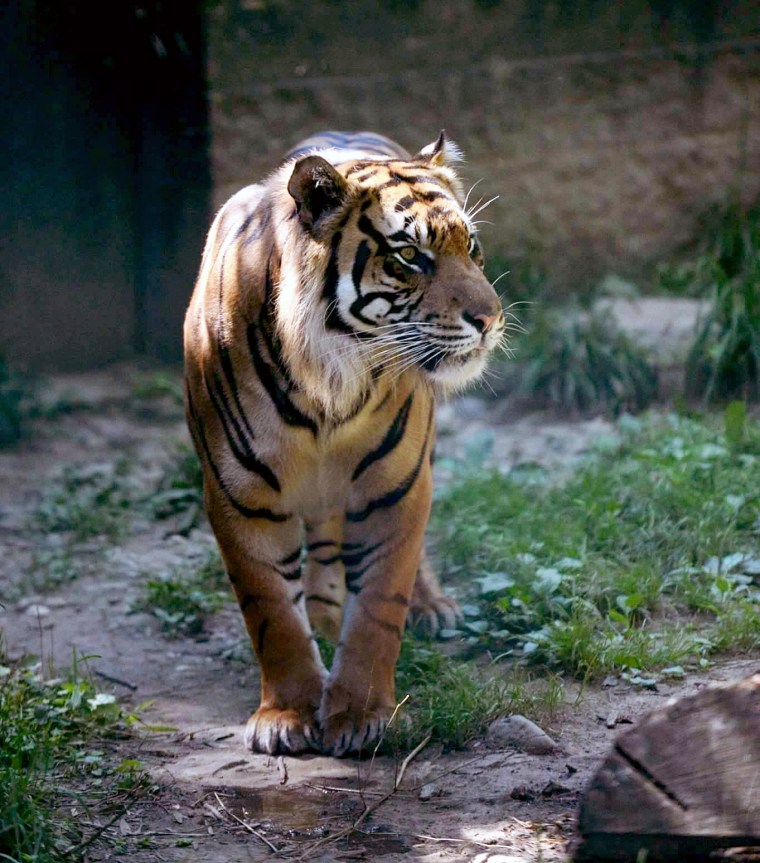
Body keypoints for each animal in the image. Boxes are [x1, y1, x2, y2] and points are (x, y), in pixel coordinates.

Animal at [183, 128, 504, 756]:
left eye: (472, 247)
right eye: (410, 257)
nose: (491, 319)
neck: (328, 386)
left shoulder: (394, 489)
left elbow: (379, 607)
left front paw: (360, 714)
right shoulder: (238, 497)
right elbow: (273, 614)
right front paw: (286, 715)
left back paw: (431, 607)